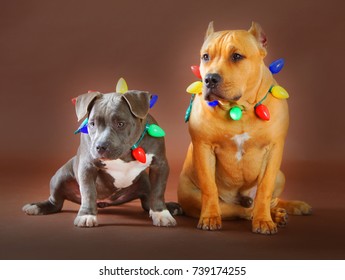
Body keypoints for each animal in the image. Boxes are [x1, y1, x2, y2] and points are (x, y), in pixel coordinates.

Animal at [23, 90, 180, 228]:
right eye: (92, 123)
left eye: (120, 124)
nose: (100, 146)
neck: (125, 154)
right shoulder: (87, 167)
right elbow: (88, 192)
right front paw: (86, 215)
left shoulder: (160, 165)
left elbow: (158, 191)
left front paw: (161, 213)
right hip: (60, 176)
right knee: (56, 202)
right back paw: (36, 206)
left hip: (144, 181)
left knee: (147, 201)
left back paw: (171, 207)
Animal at [179, 21, 310, 234]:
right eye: (205, 56)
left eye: (237, 56)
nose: (210, 79)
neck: (239, 109)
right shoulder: (204, 147)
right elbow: (209, 188)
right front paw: (209, 218)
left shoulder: (274, 150)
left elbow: (264, 190)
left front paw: (264, 220)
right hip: (194, 196)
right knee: (238, 209)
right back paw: (270, 214)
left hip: (280, 175)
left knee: (269, 200)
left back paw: (288, 208)